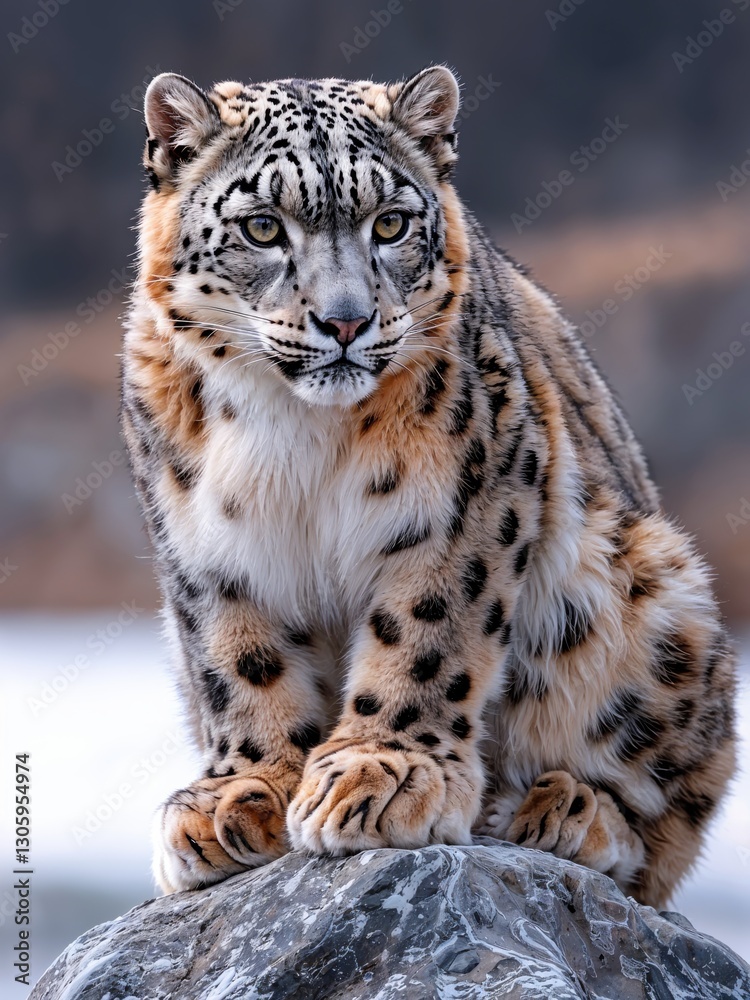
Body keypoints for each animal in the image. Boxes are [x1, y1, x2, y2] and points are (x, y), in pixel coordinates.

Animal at [121, 66, 737, 908]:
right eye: (263, 229)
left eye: (389, 224)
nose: (345, 321)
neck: (290, 433)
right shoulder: (201, 534)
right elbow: (237, 657)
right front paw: (242, 794)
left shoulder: (464, 494)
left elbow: (426, 629)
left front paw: (381, 775)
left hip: (652, 593)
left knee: (669, 815)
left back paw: (566, 810)